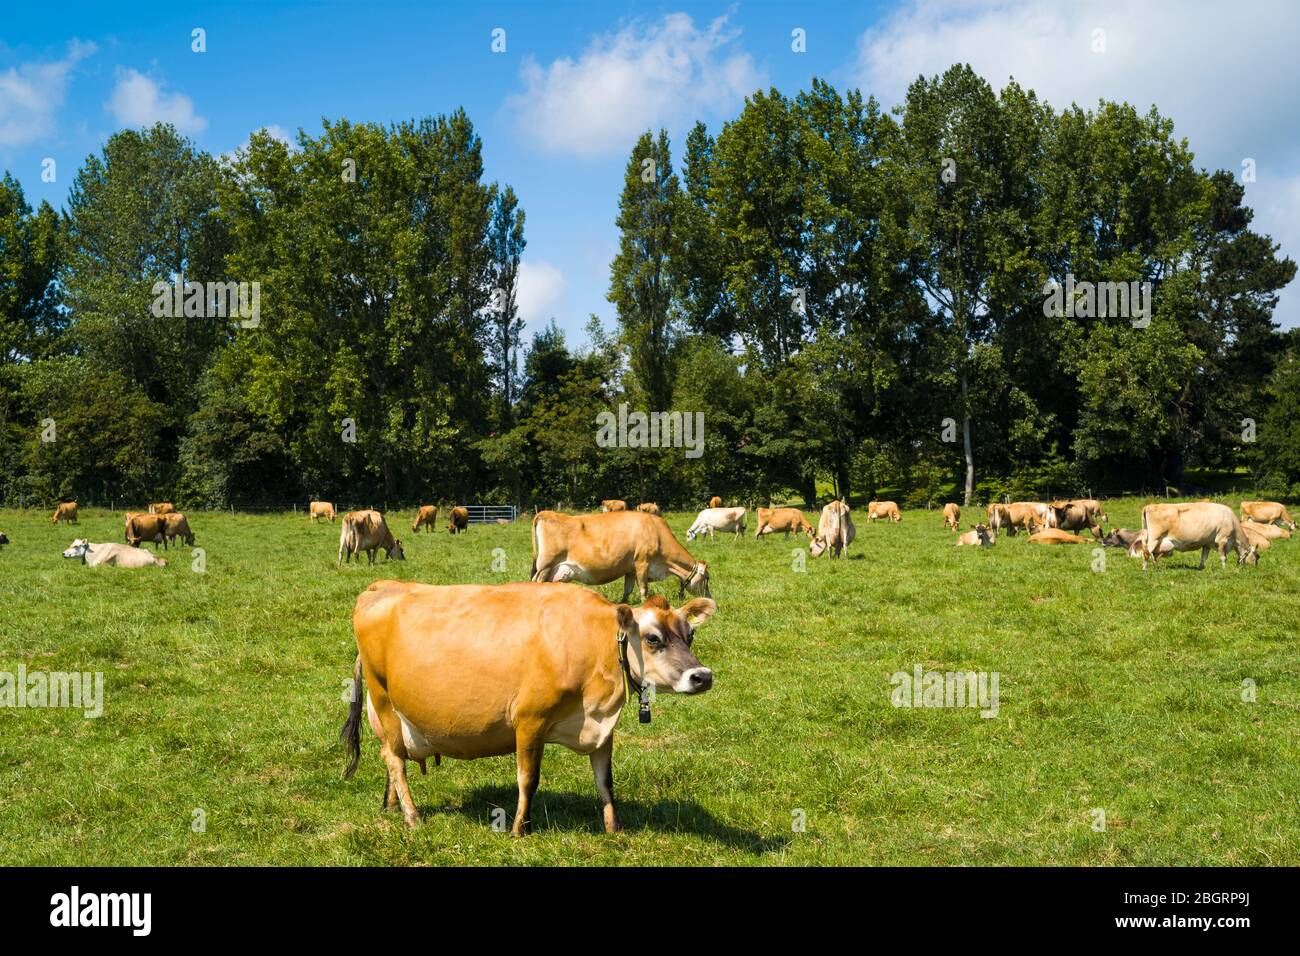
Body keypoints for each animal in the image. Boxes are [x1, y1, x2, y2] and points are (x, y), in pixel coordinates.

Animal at [340, 580, 717, 832]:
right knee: (394, 759)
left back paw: (391, 805)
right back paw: (412, 816)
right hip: (383, 698)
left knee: (393, 757)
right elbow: (528, 778)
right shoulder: (529, 718)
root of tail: (381, 586)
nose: (702, 676)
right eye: (653, 638)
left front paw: (614, 827)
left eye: (690, 636)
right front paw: (520, 828)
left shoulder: (603, 727)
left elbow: (605, 781)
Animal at [530, 504, 712, 600]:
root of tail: (547, 513)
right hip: (545, 565)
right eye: (707, 578)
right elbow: (644, 589)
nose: (710, 597)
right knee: (535, 582)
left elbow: (628, 590)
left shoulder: (630, 568)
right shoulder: (642, 562)